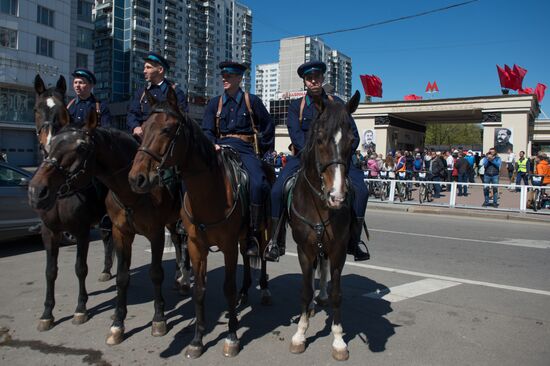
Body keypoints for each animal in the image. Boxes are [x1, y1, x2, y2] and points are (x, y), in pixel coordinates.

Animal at [28, 74, 115, 332]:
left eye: (60, 109)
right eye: (36, 109)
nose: (48, 144)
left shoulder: (82, 230)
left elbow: (80, 268)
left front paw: (81, 308)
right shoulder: (49, 232)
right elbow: (50, 271)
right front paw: (47, 313)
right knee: (107, 240)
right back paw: (106, 270)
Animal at [28, 108, 191, 346]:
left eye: (82, 147)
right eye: (52, 145)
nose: (36, 191)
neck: (131, 191)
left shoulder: (152, 233)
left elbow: (154, 273)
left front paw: (159, 319)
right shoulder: (114, 232)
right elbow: (118, 277)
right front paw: (116, 324)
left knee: (184, 245)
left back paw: (185, 279)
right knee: (177, 245)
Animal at [125, 88, 272, 358]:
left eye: (167, 129)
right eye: (144, 127)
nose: (136, 178)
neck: (210, 192)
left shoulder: (227, 246)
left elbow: (227, 288)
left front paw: (232, 337)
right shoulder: (195, 245)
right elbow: (199, 290)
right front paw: (197, 340)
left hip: (262, 230)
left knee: (262, 256)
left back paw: (264, 289)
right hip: (242, 237)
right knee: (248, 257)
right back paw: (245, 292)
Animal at [288, 91, 362, 360]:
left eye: (352, 141)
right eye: (319, 139)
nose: (337, 197)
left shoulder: (338, 249)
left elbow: (336, 294)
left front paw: (339, 340)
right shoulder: (304, 250)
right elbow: (304, 290)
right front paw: (300, 334)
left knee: (324, 269)